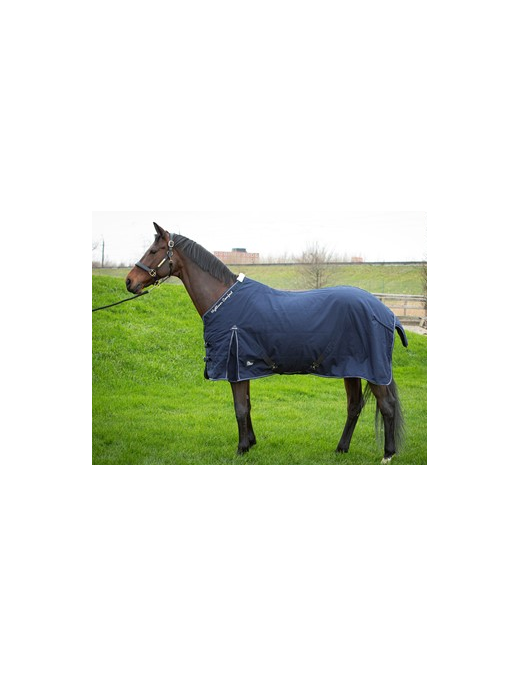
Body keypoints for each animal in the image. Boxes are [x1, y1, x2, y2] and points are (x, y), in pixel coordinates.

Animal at [125, 222, 408, 463]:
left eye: (153, 251)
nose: (129, 281)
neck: (223, 299)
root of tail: (386, 312)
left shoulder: (235, 365)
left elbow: (240, 407)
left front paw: (241, 449)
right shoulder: (242, 367)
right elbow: (248, 405)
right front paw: (251, 443)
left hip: (373, 370)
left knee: (387, 406)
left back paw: (387, 454)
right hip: (351, 369)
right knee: (354, 406)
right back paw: (341, 448)